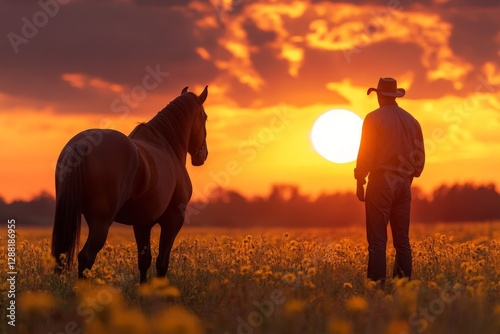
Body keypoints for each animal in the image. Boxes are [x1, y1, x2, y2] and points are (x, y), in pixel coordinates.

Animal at [53, 85, 211, 282]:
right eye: (205, 117)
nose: (203, 155)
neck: (167, 145)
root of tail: (81, 144)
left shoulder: (142, 223)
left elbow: (144, 260)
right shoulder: (173, 219)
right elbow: (162, 263)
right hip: (101, 222)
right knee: (86, 256)